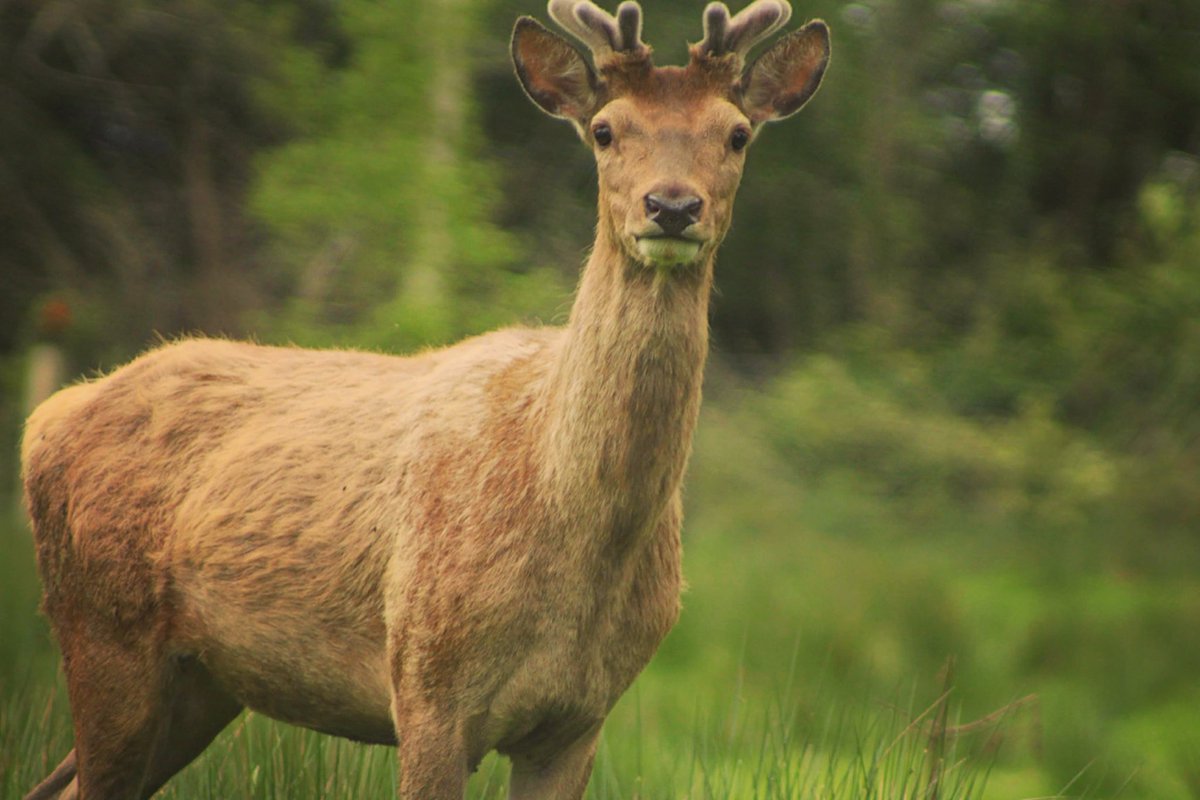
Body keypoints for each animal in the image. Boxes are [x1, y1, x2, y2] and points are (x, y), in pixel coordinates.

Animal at [21, 1, 825, 800]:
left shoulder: (581, 718)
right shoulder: (425, 681)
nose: (672, 205)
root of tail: (47, 418)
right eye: (605, 130)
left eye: (737, 133)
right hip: (102, 627)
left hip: (199, 682)